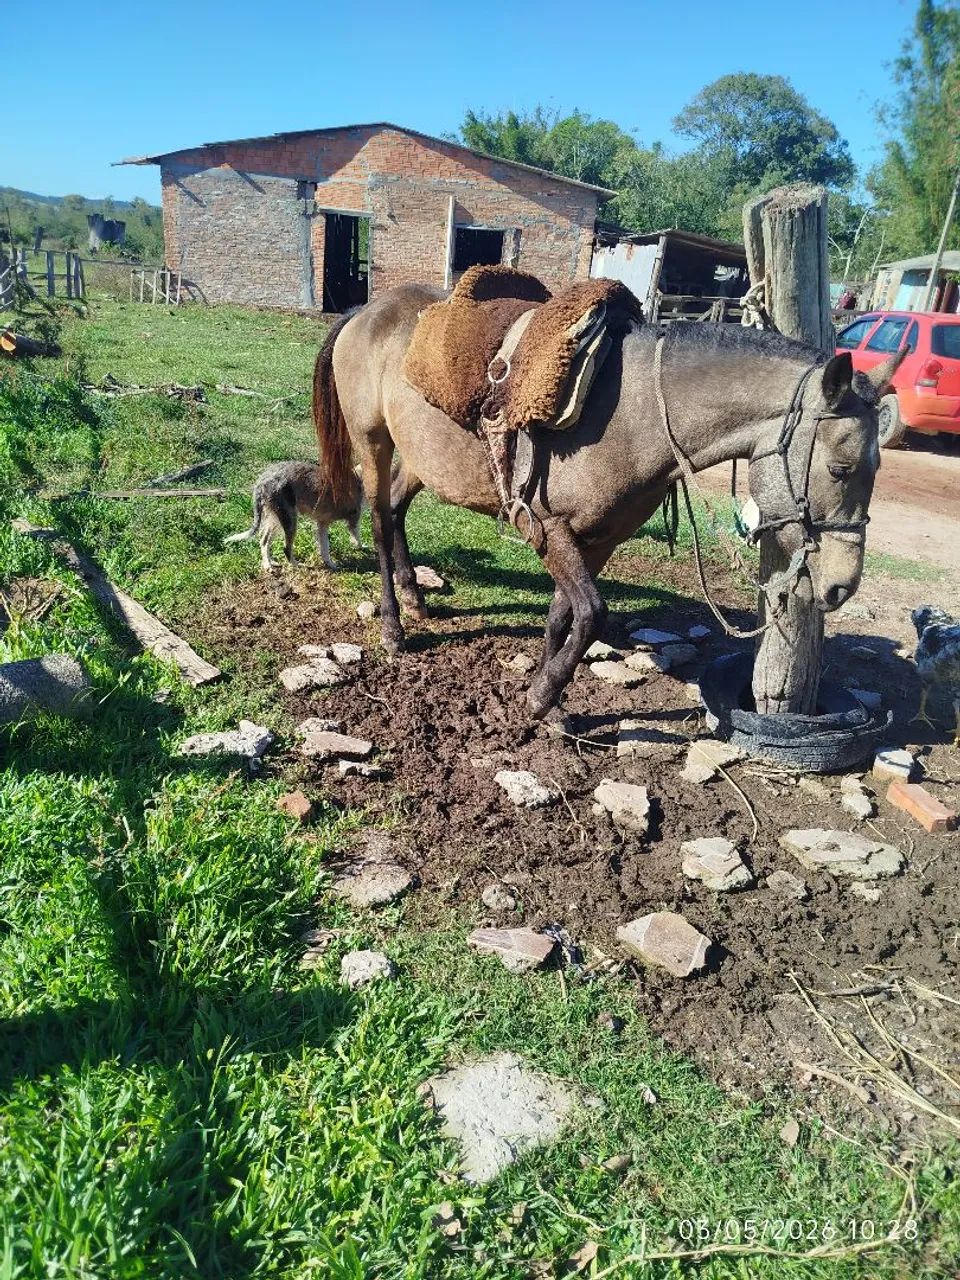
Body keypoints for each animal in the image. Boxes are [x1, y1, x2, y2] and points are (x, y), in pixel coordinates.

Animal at [312, 284, 904, 719]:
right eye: (841, 469)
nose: (841, 586)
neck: (634, 413)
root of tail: (366, 311)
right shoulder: (548, 529)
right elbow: (592, 613)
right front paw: (542, 695)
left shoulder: (598, 542)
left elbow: (563, 617)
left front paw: (549, 700)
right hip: (374, 442)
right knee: (379, 522)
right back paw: (394, 626)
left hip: (422, 459)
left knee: (394, 510)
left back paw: (415, 596)